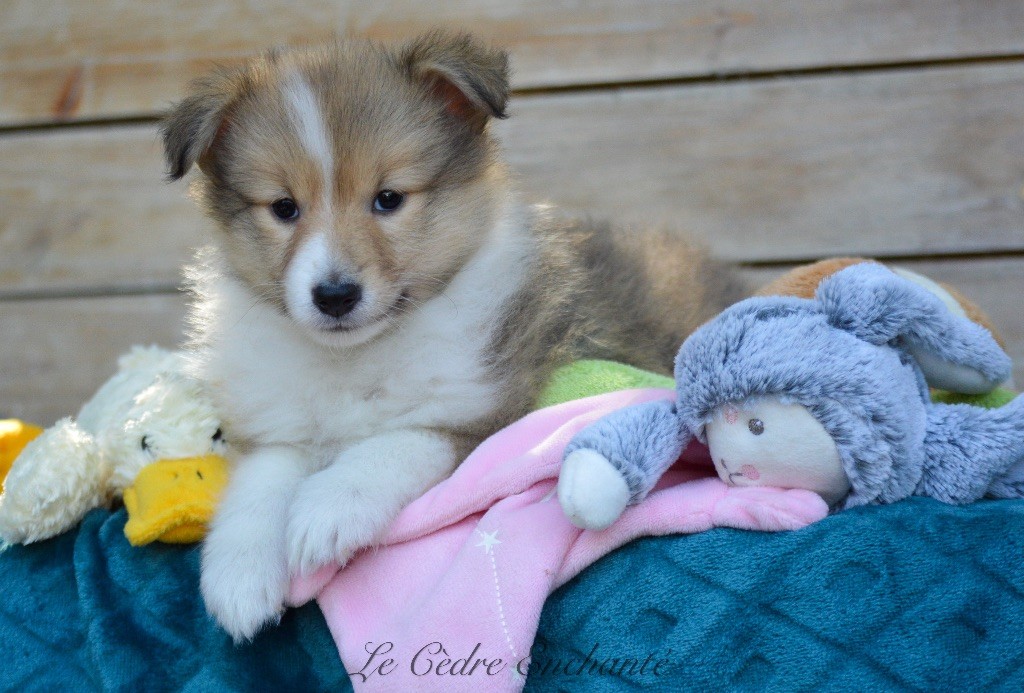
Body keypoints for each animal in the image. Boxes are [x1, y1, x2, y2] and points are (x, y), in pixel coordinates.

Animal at [162, 31, 743, 640]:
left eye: (389, 198)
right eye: (283, 207)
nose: (335, 295)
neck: (354, 359)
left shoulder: (485, 411)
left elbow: (396, 443)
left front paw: (326, 511)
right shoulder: (281, 423)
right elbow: (262, 478)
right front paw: (239, 575)